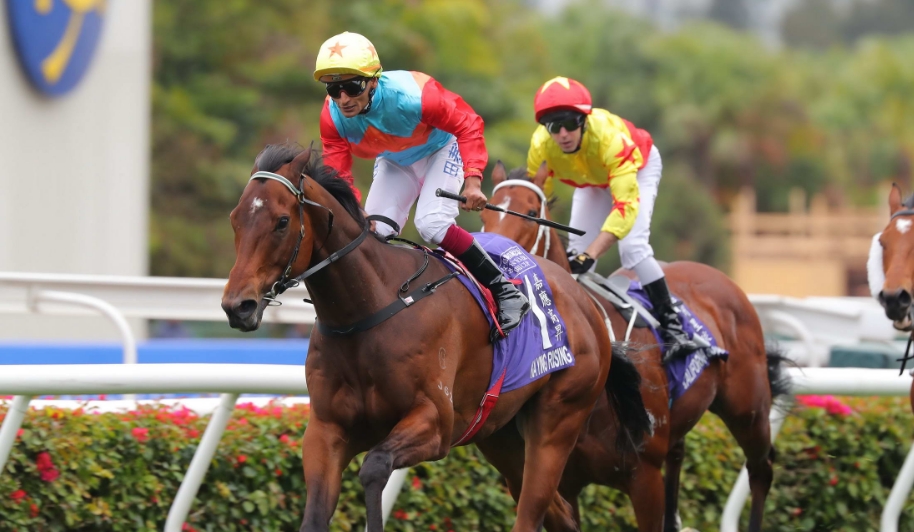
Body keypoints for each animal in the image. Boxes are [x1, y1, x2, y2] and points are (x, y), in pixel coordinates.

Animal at [220, 143, 650, 532]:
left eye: (281, 221)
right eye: (235, 219)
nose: (236, 306)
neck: (367, 311)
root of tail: (585, 302)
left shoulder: (435, 422)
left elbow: (374, 468)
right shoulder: (327, 430)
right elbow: (314, 514)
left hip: (558, 421)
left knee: (532, 511)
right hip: (500, 435)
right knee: (559, 513)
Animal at [480, 162, 791, 532]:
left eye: (530, 213)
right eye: (484, 213)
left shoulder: (644, 478)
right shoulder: (565, 482)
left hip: (749, 409)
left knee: (761, 468)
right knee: (680, 458)